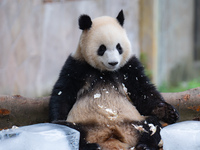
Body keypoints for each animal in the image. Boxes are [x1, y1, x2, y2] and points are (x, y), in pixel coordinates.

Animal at [48, 9, 180, 149]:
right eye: (102, 48)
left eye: (119, 47)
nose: (113, 63)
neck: (105, 72)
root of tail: (111, 133)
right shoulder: (77, 65)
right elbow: (63, 92)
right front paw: (57, 118)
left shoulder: (128, 66)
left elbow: (143, 91)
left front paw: (168, 112)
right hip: (84, 124)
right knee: (71, 130)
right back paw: (91, 146)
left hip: (133, 122)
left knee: (151, 124)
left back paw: (144, 145)